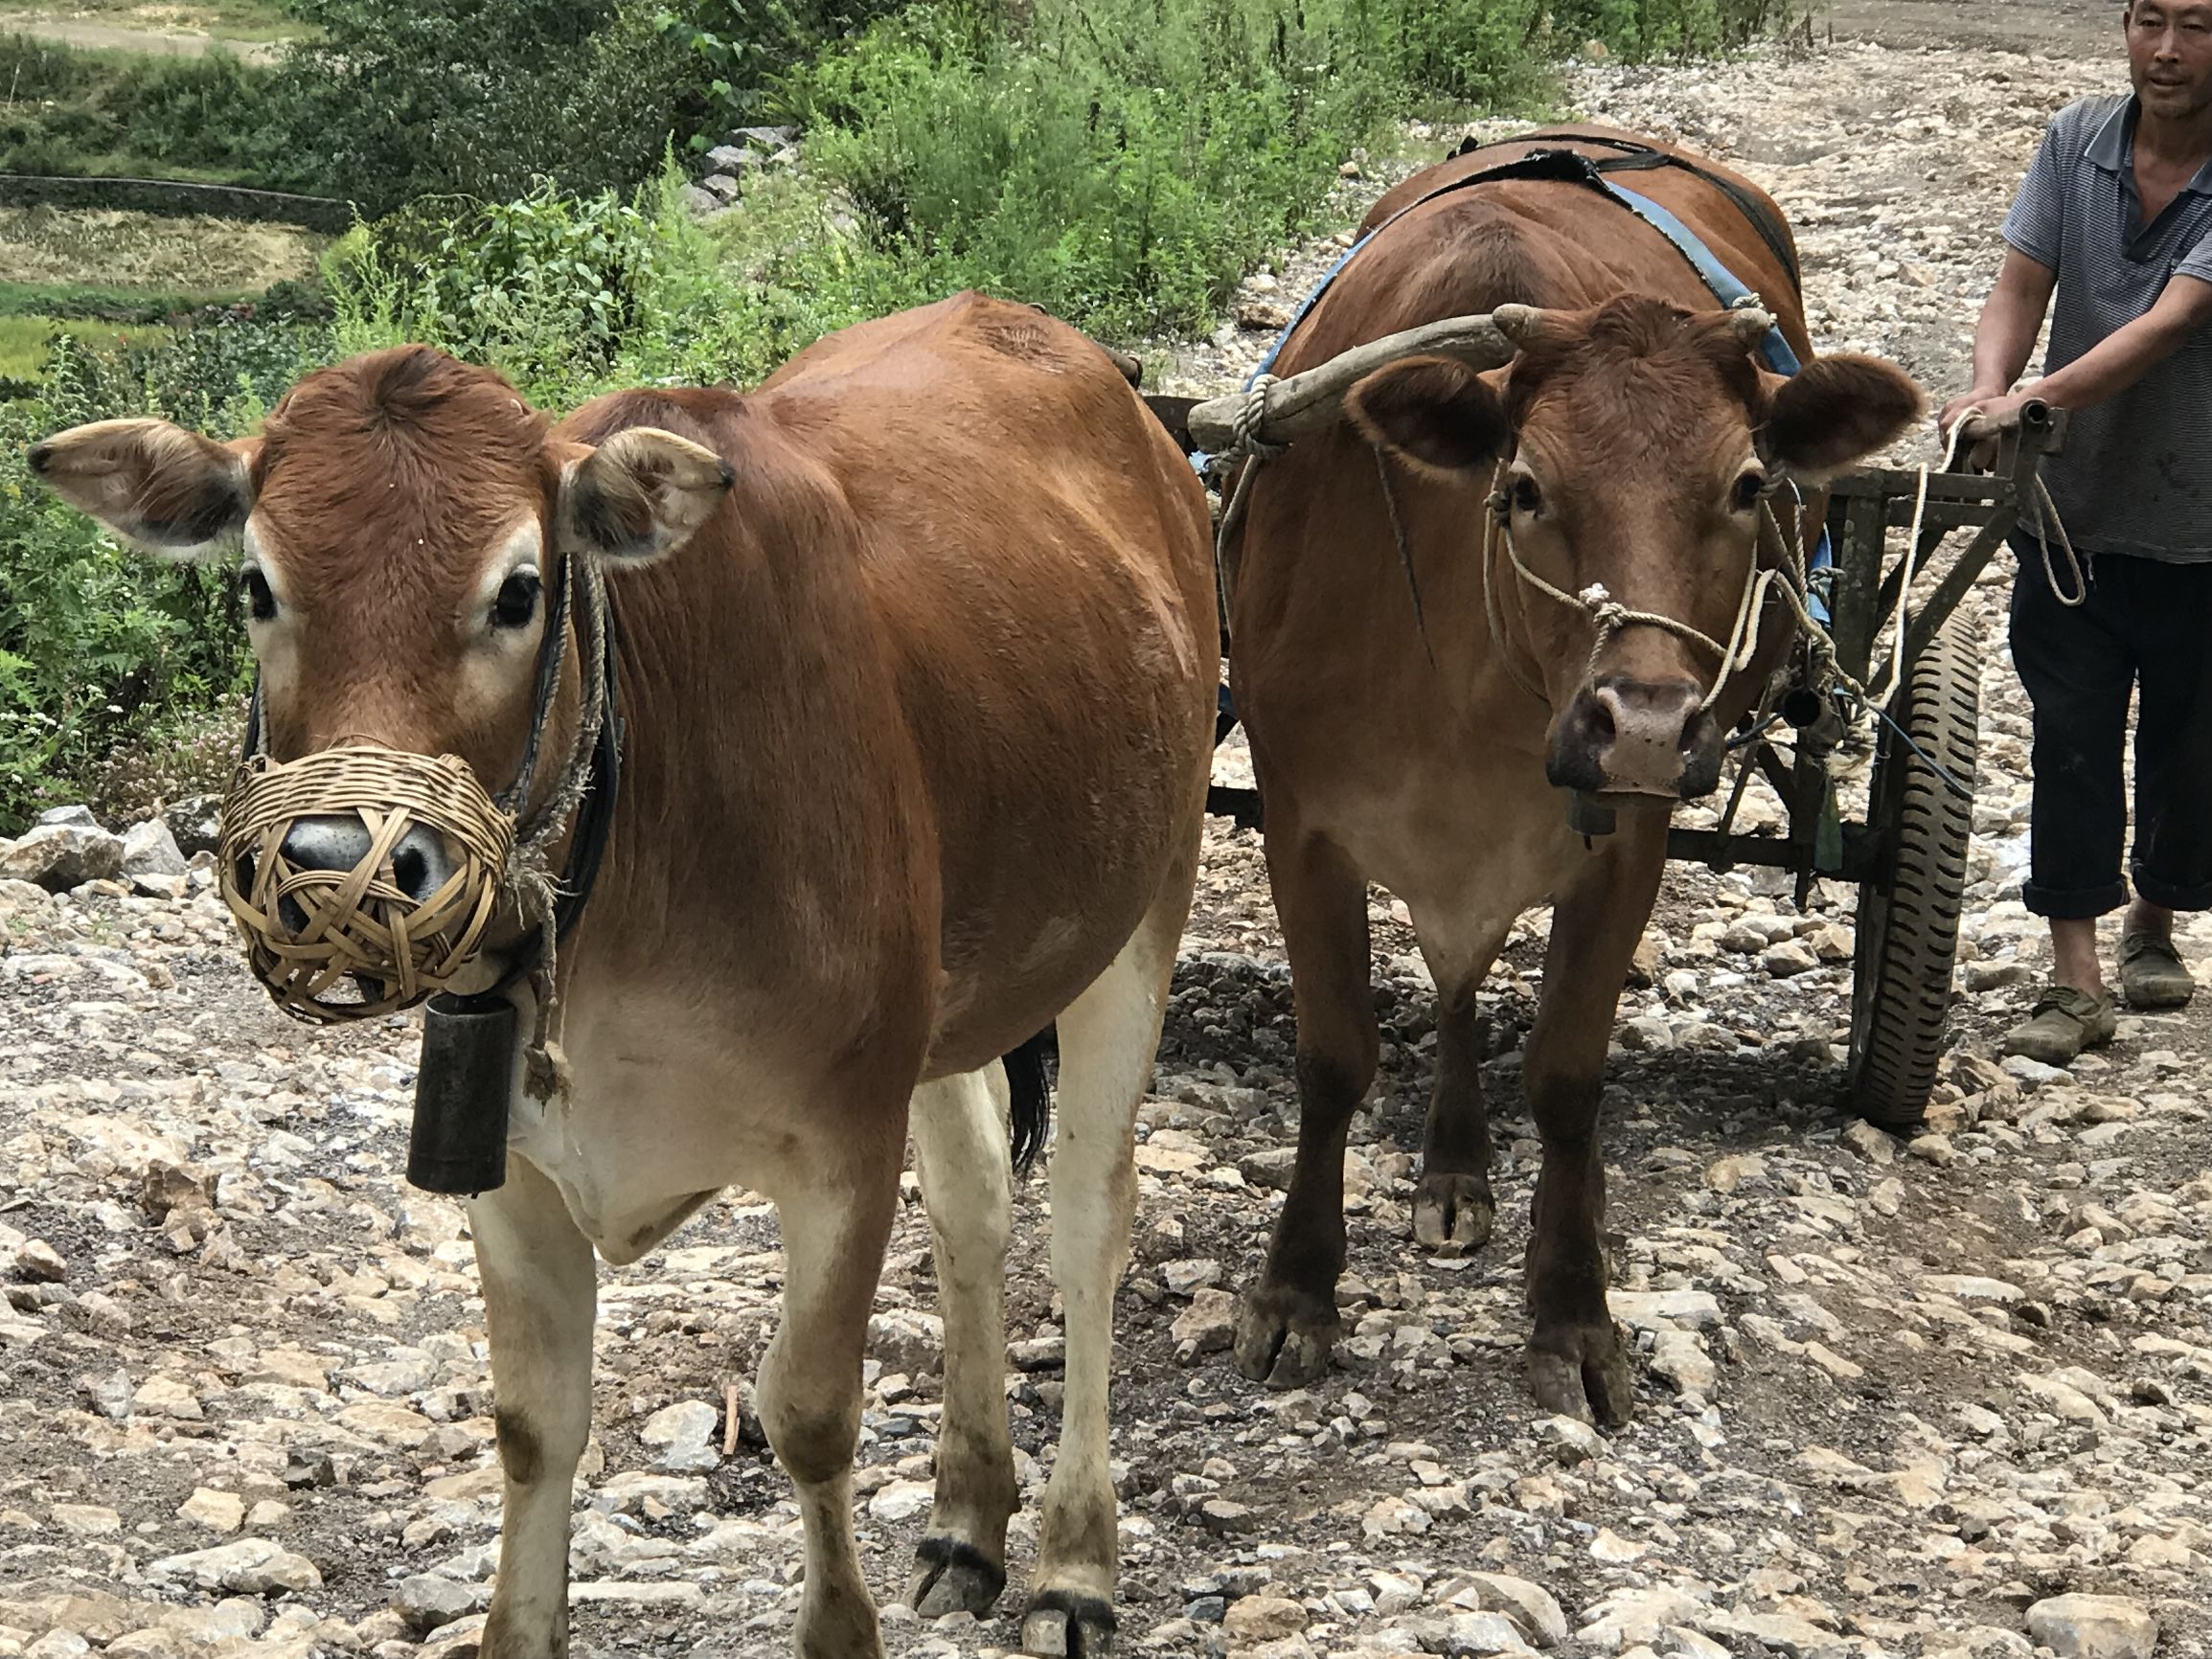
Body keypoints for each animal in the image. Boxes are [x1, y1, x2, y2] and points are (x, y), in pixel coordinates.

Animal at [30, 291, 1212, 1654]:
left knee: (1085, 1222)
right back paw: (966, 1518)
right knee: (974, 1203)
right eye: (256, 586)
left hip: (1144, 903)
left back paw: (1075, 1558)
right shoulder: (512, 1165)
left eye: (520, 591)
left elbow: (808, 1411)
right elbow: (534, 1425)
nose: (336, 864)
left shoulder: (842, 1147)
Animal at [1229, 133, 1920, 1433]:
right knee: (1454, 983)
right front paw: (1296, 1292)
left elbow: (1566, 1074)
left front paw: (1572, 1309)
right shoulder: (1300, 821)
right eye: (1524, 489)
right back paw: (1453, 1164)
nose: (1641, 723)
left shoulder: (1627, 838)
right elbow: (1333, 1055)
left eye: (1744, 486)